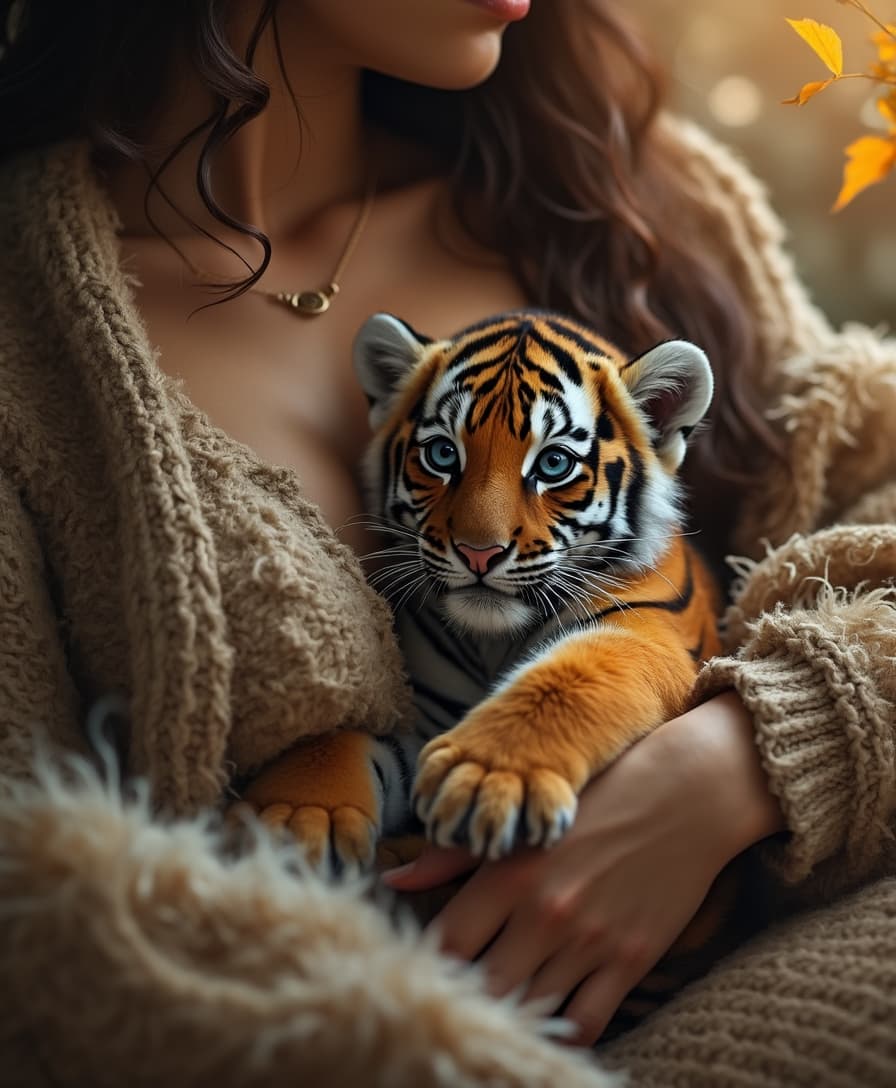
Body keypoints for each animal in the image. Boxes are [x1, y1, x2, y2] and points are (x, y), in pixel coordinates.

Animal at [239, 308, 723, 873]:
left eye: (554, 464)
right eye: (443, 454)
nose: (478, 553)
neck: (492, 641)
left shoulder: (644, 635)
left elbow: (569, 678)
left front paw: (489, 778)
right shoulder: (418, 715)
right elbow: (335, 742)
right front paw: (294, 819)